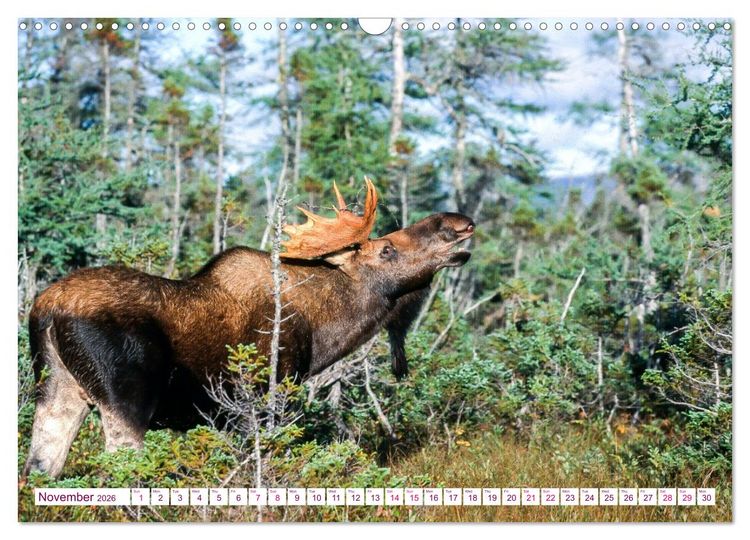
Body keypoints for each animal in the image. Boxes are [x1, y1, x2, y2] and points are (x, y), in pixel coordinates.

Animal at [23, 178, 474, 478]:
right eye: (387, 249)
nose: (458, 222)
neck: (323, 331)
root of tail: (47, 309)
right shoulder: (261, 399)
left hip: (57, 389)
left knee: (39, 466)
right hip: (126, 398)